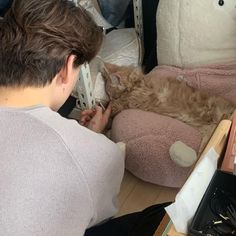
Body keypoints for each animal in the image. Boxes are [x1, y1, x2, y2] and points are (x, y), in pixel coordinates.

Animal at [102, 63, 235, 164]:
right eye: (109, 95)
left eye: (112, 96)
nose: (108, 99)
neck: (138, 83)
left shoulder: (128, 102)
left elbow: (112, 111)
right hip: (209, 132)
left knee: (198, 158)